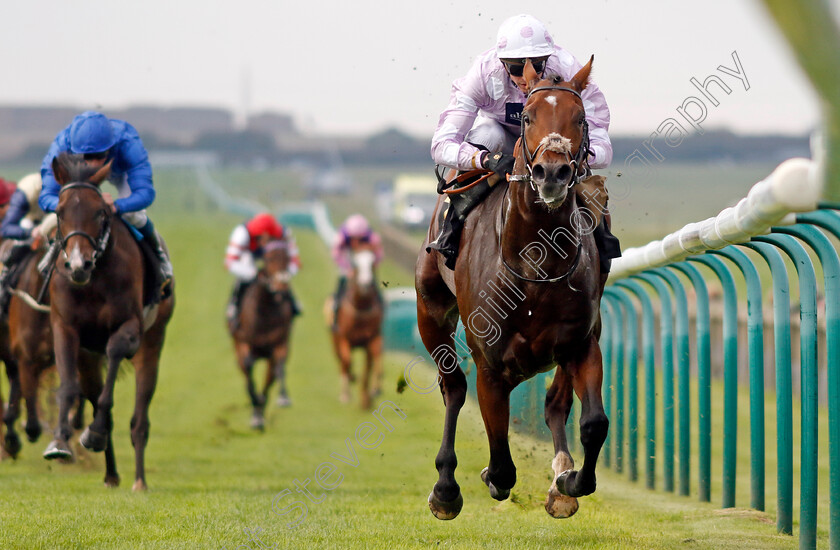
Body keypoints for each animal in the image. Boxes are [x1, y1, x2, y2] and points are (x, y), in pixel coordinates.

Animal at [43, 152, 176, 492]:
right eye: (60, 212)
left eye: (100, 212)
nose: (79, 264)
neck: (93, 280)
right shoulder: (65, 328)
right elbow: (68, 385)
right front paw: (59, 441)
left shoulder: (129, 327)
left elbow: (115, 355)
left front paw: (94, 432)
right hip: (89, 357)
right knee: (92, 390)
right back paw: (111, 474)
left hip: (152, 345)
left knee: (139, 418)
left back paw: (139, 480)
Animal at [228, 240, 296, 432]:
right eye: (268, 258)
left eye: (287, 257)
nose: (282, 285)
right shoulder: (244, 345)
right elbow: (249, 373)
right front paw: (255, 413)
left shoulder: (278, 347)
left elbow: (274, 375)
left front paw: (262, 412)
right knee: (246, 373)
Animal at [334, 245, 386, 410]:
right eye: (355, 263)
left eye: (372, 262)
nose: (365, 284)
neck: (361, 307)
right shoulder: (344, 338)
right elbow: (347, 361)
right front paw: (351, 382)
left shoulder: (372, 339)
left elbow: (371, 365)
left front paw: (368, 397)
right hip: (335, 341)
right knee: (342, 363)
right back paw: (345, 392)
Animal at [416, 58, 608, 524]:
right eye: (528, 117)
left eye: (581, 118)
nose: (553, 173)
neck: (535, 261)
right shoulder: (489, 362)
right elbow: (502, 465)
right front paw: (481, 477)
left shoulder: (581, 343)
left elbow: (593, 423)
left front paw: (569, 481)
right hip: (430, 311)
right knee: (453, 387)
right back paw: (445, 488)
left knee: (556, 403)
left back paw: (561, 480)